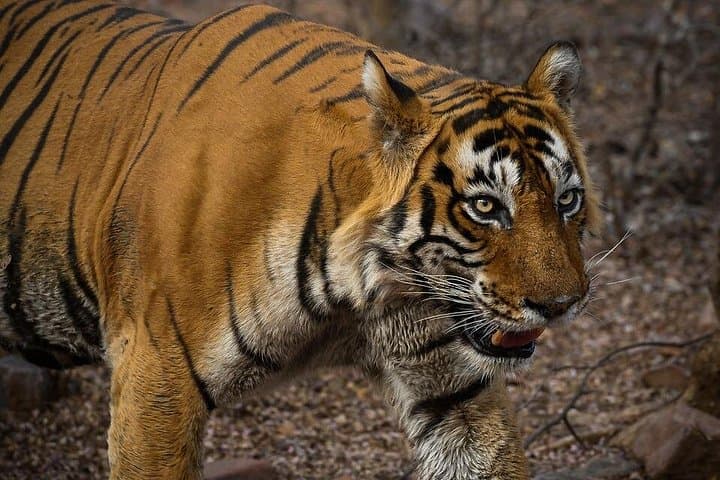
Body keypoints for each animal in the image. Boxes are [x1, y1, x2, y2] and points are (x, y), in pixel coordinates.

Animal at [0, 0, 601, 478]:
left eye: (566, 199)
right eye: (485, 207)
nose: (561, 305)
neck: (363, 290)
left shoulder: (454, 386)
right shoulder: (156, 380)